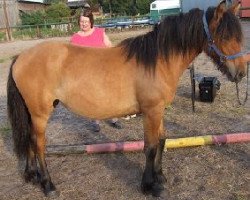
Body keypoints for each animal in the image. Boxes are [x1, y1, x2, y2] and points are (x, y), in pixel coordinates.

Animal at [6, 0, 248, 198]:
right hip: (40, 113)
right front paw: (150, 186)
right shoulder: (151, 111)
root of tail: (20, 57)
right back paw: (48, 185)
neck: (157, 61)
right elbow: (150, 146)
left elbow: (162, 140)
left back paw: (32, 175)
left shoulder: (159, 110)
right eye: (225, 36)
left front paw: (160, 177)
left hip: (33, 112)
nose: (241, 72)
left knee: (29, 140)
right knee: (38, 144)